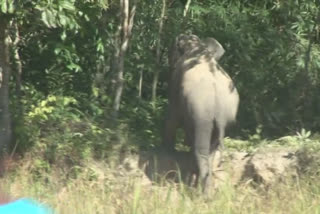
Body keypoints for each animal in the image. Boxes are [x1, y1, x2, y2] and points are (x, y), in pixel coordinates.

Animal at [164, 33, 239, 196]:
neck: (198, 47)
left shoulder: (176, 84)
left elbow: (172, 115)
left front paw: (166, 151)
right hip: (225, 118)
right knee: (211, 151)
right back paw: (207, 191)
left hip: (201, 113)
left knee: (201, 151)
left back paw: (202, 194)